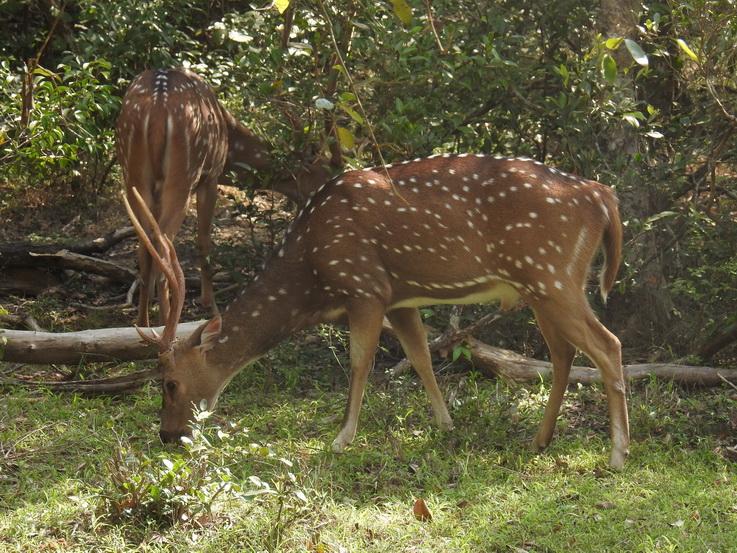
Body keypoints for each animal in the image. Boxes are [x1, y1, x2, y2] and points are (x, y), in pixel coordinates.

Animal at [129, 153, 628, 468]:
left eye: (169, 382)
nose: (168, 435)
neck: (311, 274)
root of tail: (604, 195)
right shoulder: (400, 297)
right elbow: (421, 357)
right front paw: (446, 424)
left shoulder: (364, 287)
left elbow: (360, 362)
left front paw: (341, 438)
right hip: (544, 283)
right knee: (564, 354)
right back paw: (540, 440)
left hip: (550, 273)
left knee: (608, 345)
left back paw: (618, 454)